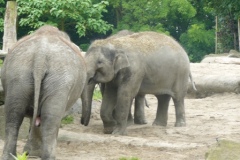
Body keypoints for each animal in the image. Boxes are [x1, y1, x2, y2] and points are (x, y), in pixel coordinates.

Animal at [1, 25, 86, 159]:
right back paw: (48, 156)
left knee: (14, 116)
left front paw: (30, 153)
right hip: (58, 80)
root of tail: (40, 55)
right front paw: (32, 153)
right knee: (50, 121)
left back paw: (10, 156)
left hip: (18, 74)